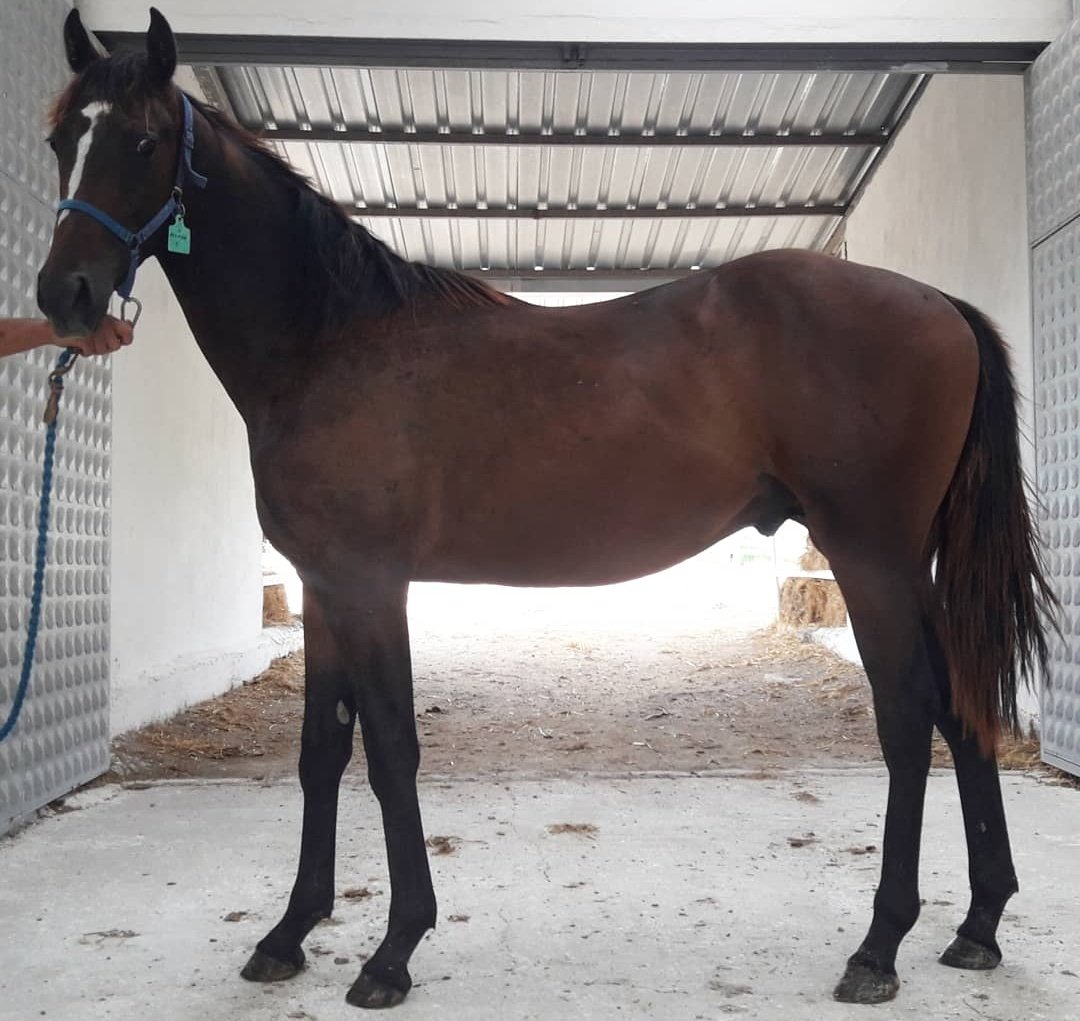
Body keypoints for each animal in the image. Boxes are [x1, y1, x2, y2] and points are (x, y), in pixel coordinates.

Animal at [37, 7, 1057, 1010]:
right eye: (58, 140)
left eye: (143, 140)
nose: (63, 295)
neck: (332, 342)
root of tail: (939, 303)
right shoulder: (322, 587)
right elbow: (322, 749)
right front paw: (289, 933)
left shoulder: (371, 585)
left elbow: (393, 747)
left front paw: (392, 950)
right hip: (908, 563)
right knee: (961, 707)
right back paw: (976, 926)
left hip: (870, 556)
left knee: (908, 715)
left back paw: (880, 944)